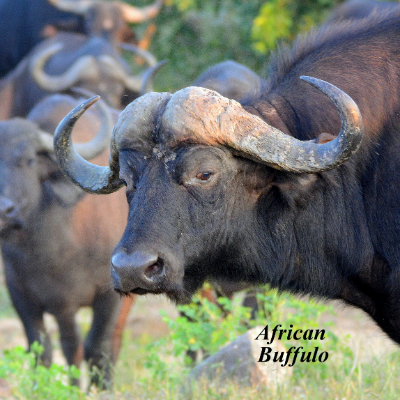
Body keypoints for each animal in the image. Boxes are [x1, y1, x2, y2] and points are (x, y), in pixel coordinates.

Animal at [0, 92, 130, 386]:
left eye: (29, 161)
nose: (3, 210)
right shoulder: (22, 295)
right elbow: (43, 350)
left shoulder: (109, 294)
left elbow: (97, 347)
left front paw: (101, 388)